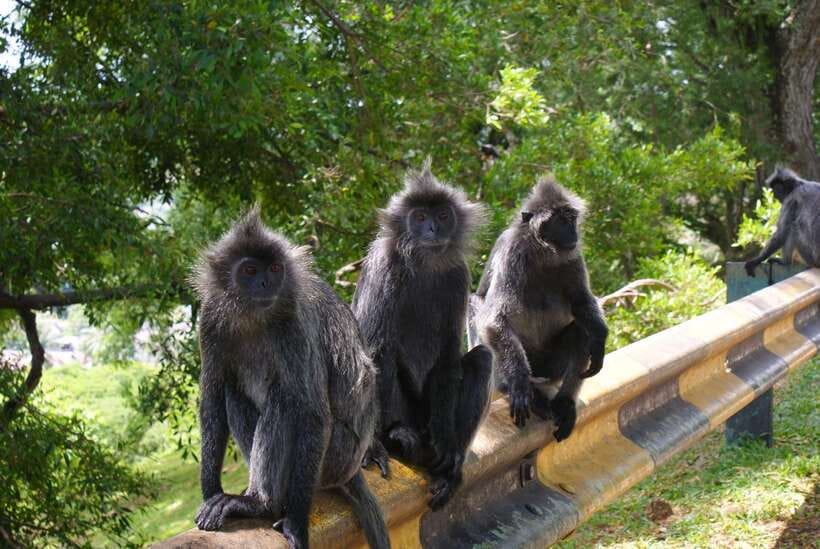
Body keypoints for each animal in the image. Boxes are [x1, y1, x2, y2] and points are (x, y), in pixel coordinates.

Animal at [190, 208, 390, 549]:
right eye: (250, 270)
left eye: (274, 268)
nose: (265, 284)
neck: (253, 318)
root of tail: (351, 470)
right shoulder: (212, 321)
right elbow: (214, 401)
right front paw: (211, 493)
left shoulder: (294, 323)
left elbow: (313, 415)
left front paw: (296, 523)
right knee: (234, 392)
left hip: (336, 456)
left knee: (285, 399)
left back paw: (262, 503)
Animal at [353, 160, 493, 510]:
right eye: (419, 217)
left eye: (442, 216)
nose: (432, 230)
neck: (425, 264)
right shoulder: (385, 266)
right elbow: (373, 352)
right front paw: (374, 446)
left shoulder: (458, 275)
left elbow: (447, 360)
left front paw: (447, 447)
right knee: (385, 355)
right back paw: (395, 437)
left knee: (483, 359)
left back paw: (447, 464)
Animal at [470, 177, 608, 441]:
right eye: (559, 221)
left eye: (571, 218)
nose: (572, 232)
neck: (543, 253)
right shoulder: (512, 251)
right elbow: (493, 319)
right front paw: (519, 384)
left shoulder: (572, 255)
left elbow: (581, 301)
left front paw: (600, 340)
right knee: (476, 305)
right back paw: (524, 392)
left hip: (552, 367)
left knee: (580, 331)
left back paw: (564, 402)